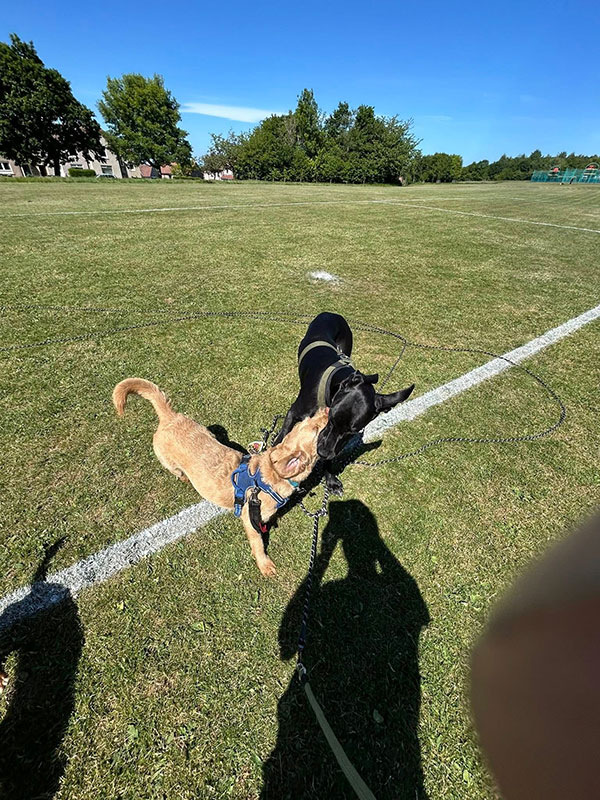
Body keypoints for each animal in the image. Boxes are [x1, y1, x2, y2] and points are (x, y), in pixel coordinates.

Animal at [112, 378, 329, 577]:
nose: (326, 408)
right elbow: (258, 543)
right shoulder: (249, 519)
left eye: (310, 419)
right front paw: (265, 565)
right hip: (169, 462)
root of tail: (170, 416)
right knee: (177, 472)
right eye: (317, 430)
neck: (268, 475)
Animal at [273, 312, 414, 494]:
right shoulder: (294, 413)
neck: (335, 384)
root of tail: (331, 313)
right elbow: (282, 436)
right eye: (331, 419)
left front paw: (331, 480)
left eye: (351, 431)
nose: (322, 452)